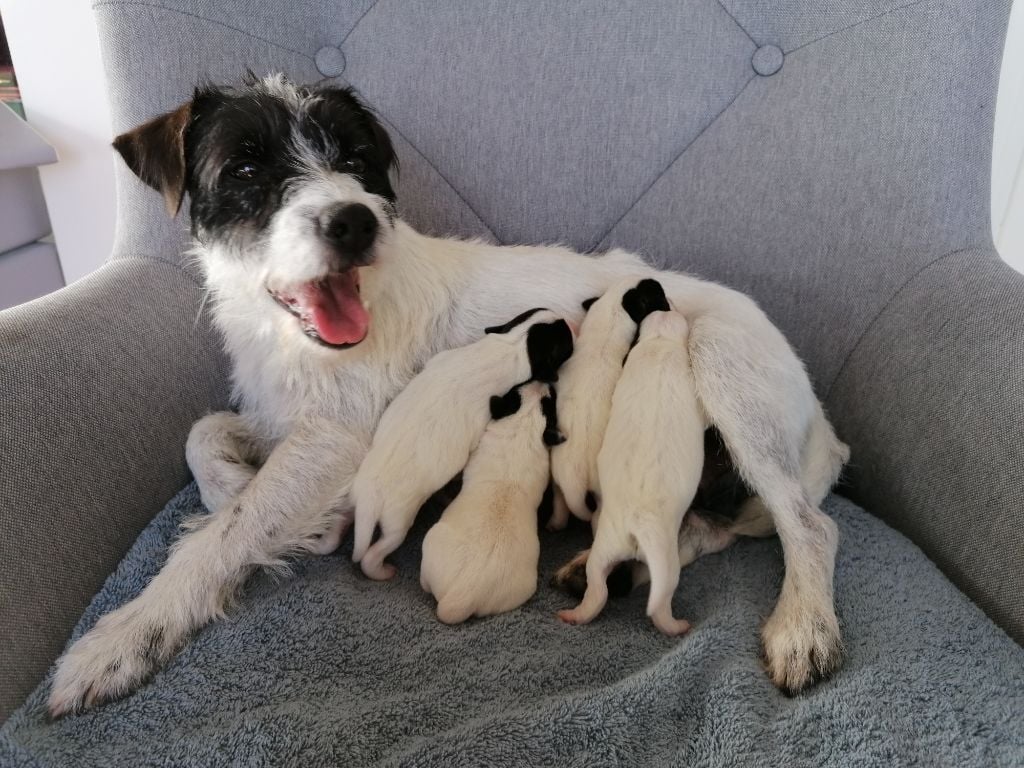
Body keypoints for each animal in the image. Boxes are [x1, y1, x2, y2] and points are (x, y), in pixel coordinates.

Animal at [352, 309, 577, 581]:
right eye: (565, 340)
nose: (573, 322)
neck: (510, 345)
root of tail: (369, 497)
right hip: (396, 520)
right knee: (376, 551)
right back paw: (382, 570)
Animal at [552, 280, 671, 532]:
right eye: (656, 294)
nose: (657, 281)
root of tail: (577, 482)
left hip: (557, 477)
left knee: (559, 501)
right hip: (599, 491)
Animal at [561, 309, 704, 638]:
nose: (668, 308)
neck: (660, 343)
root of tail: (635, 527)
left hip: (603, 546)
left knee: (597, 587)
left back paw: (575, 615)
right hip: (666, 559)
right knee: (661, 599)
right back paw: (676, 625)